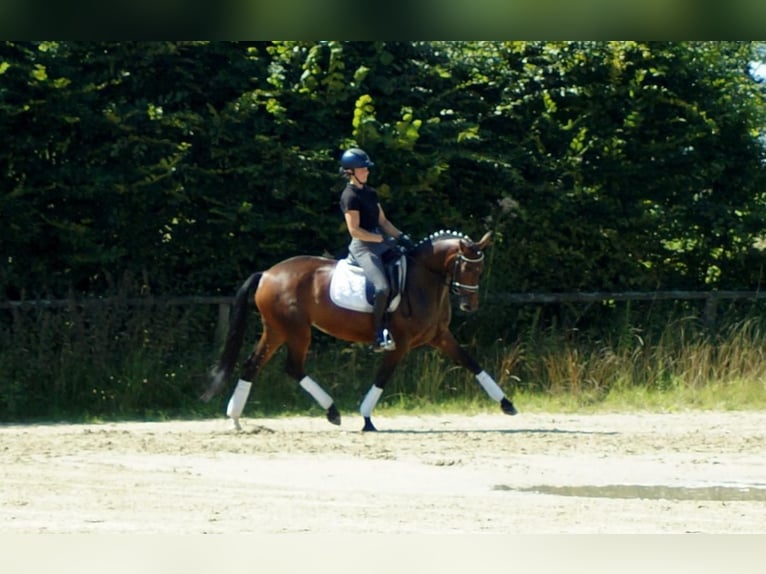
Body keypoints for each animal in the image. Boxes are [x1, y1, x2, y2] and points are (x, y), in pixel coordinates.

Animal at [201, 230, 520, 432]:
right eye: (465, 267)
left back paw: (236, 419)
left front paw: (507, 405)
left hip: (277, 330)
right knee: (292, 367)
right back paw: (331, 411)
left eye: (479, 270)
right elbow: (383, 377)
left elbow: (472, 363)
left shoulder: (440, 336)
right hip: (296, 330)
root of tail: (267, 273)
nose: (469, 305)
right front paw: (366, 418)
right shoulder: (400, 343)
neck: (422, 280)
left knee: (253, 364)